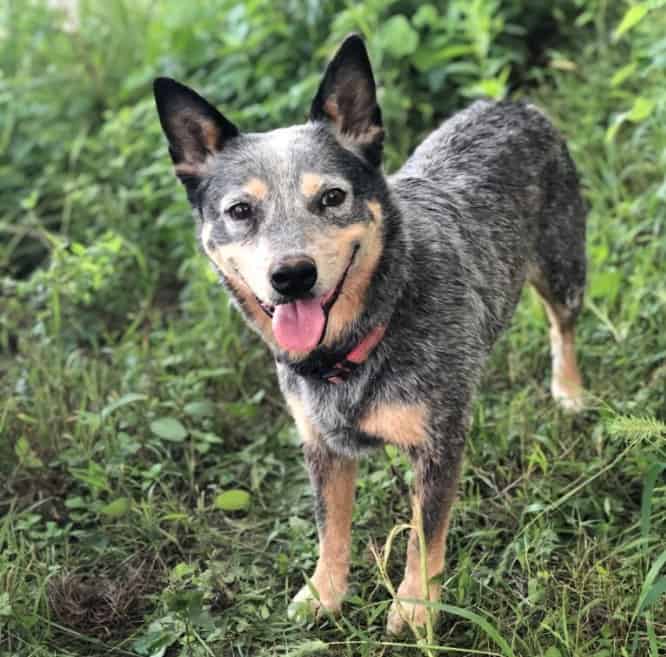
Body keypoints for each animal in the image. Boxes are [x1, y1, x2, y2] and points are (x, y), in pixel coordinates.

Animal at [153, 33, 584, 632]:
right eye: (240, 210)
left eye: (332, 197)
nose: (292, 274)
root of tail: (512, 103)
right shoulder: (321, 447)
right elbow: (330, 528)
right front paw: (325, 592)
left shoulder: (439, 444)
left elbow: (424, 537)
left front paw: (416, 606)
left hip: (562, 268)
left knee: (561, 326)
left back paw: (569, 390)